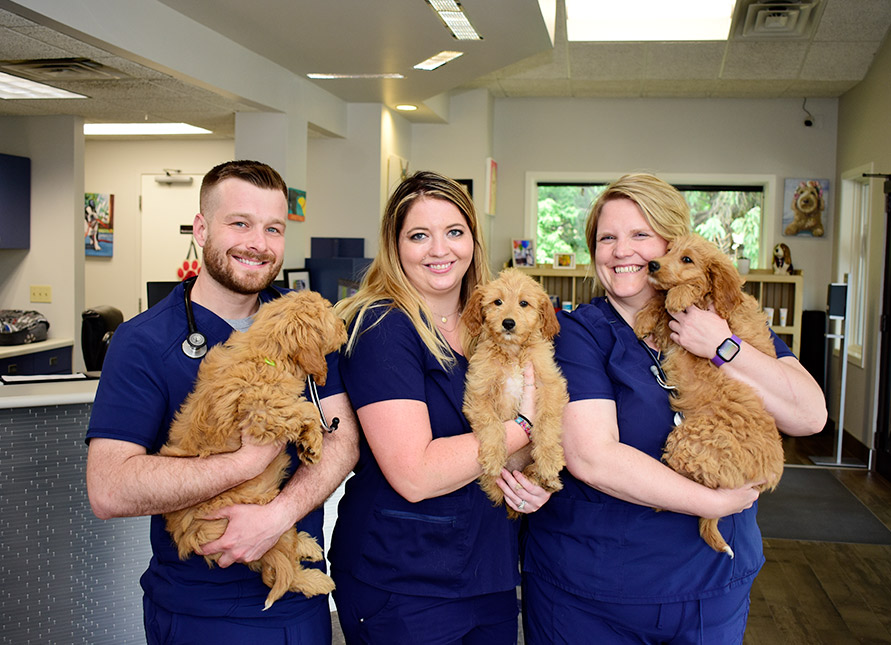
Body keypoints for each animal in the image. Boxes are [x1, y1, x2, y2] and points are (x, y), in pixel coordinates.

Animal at [160, 290, 344, 608]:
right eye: (330, 314)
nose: (345, 323)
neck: (266, 354)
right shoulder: (264, 411)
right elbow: (304, 407)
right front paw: (312, 443)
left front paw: (309, 442)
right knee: (284, 571)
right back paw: (317, 580)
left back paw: (307, 545)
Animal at [464, 268, 568, 520]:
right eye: (497, 302)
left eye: (524, 303)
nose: (508, 323)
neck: (511, 351)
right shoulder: (478, 390)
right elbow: (491, 424)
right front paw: (493, 457)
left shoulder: (550, 383)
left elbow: (547, 422)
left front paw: (549, 460)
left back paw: (546, 479)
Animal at [636, 234, 788, 556]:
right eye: (669, 251)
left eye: (687, 259)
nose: (652, 264)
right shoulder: (670, 336)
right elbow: (658, 303)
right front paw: (644, 317)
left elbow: (683, 293)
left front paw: (678, 295)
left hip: (691, 439)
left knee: (697, 487)